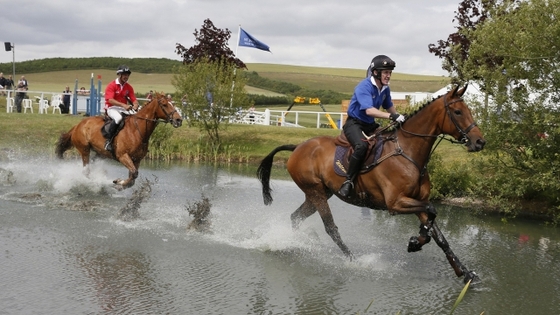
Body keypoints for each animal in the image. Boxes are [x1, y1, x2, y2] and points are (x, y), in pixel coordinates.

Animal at [258, 84, 486, 284]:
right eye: (458, 112)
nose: (480, 142)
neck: (408, 152)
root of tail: (298, 147)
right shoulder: (396, 203)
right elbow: (432, 211)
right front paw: (416, 241)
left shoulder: (416, 200)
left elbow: (438, 234)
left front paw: (465, 272)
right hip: (316, 192)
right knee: (331, 228)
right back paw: (353, 260)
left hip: (320, 193)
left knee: (296, 217)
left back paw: (297, 243)